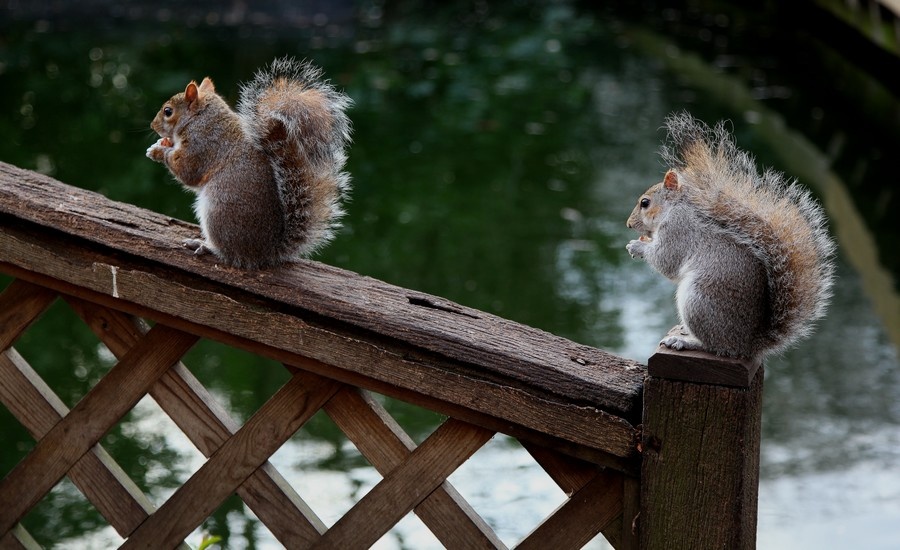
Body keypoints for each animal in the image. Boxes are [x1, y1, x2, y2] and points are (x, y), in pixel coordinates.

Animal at [146, 57, 352, 269]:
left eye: (168, 111)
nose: (153, 125)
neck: (200, 118)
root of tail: (266, 252)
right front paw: (162, 143)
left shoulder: (202, 144)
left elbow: (188, 171)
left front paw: (158, 151)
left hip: (219, 211)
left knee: (228, 253)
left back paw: (206, 246)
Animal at [626, 112, 835, 361]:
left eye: (645, 203)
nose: (629, 224)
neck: (673, 208)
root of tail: (747, 344)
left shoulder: (678, 230)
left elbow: (666, 261)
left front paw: (637, 247)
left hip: (699, 301)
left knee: (715, 346)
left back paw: (685, 341)